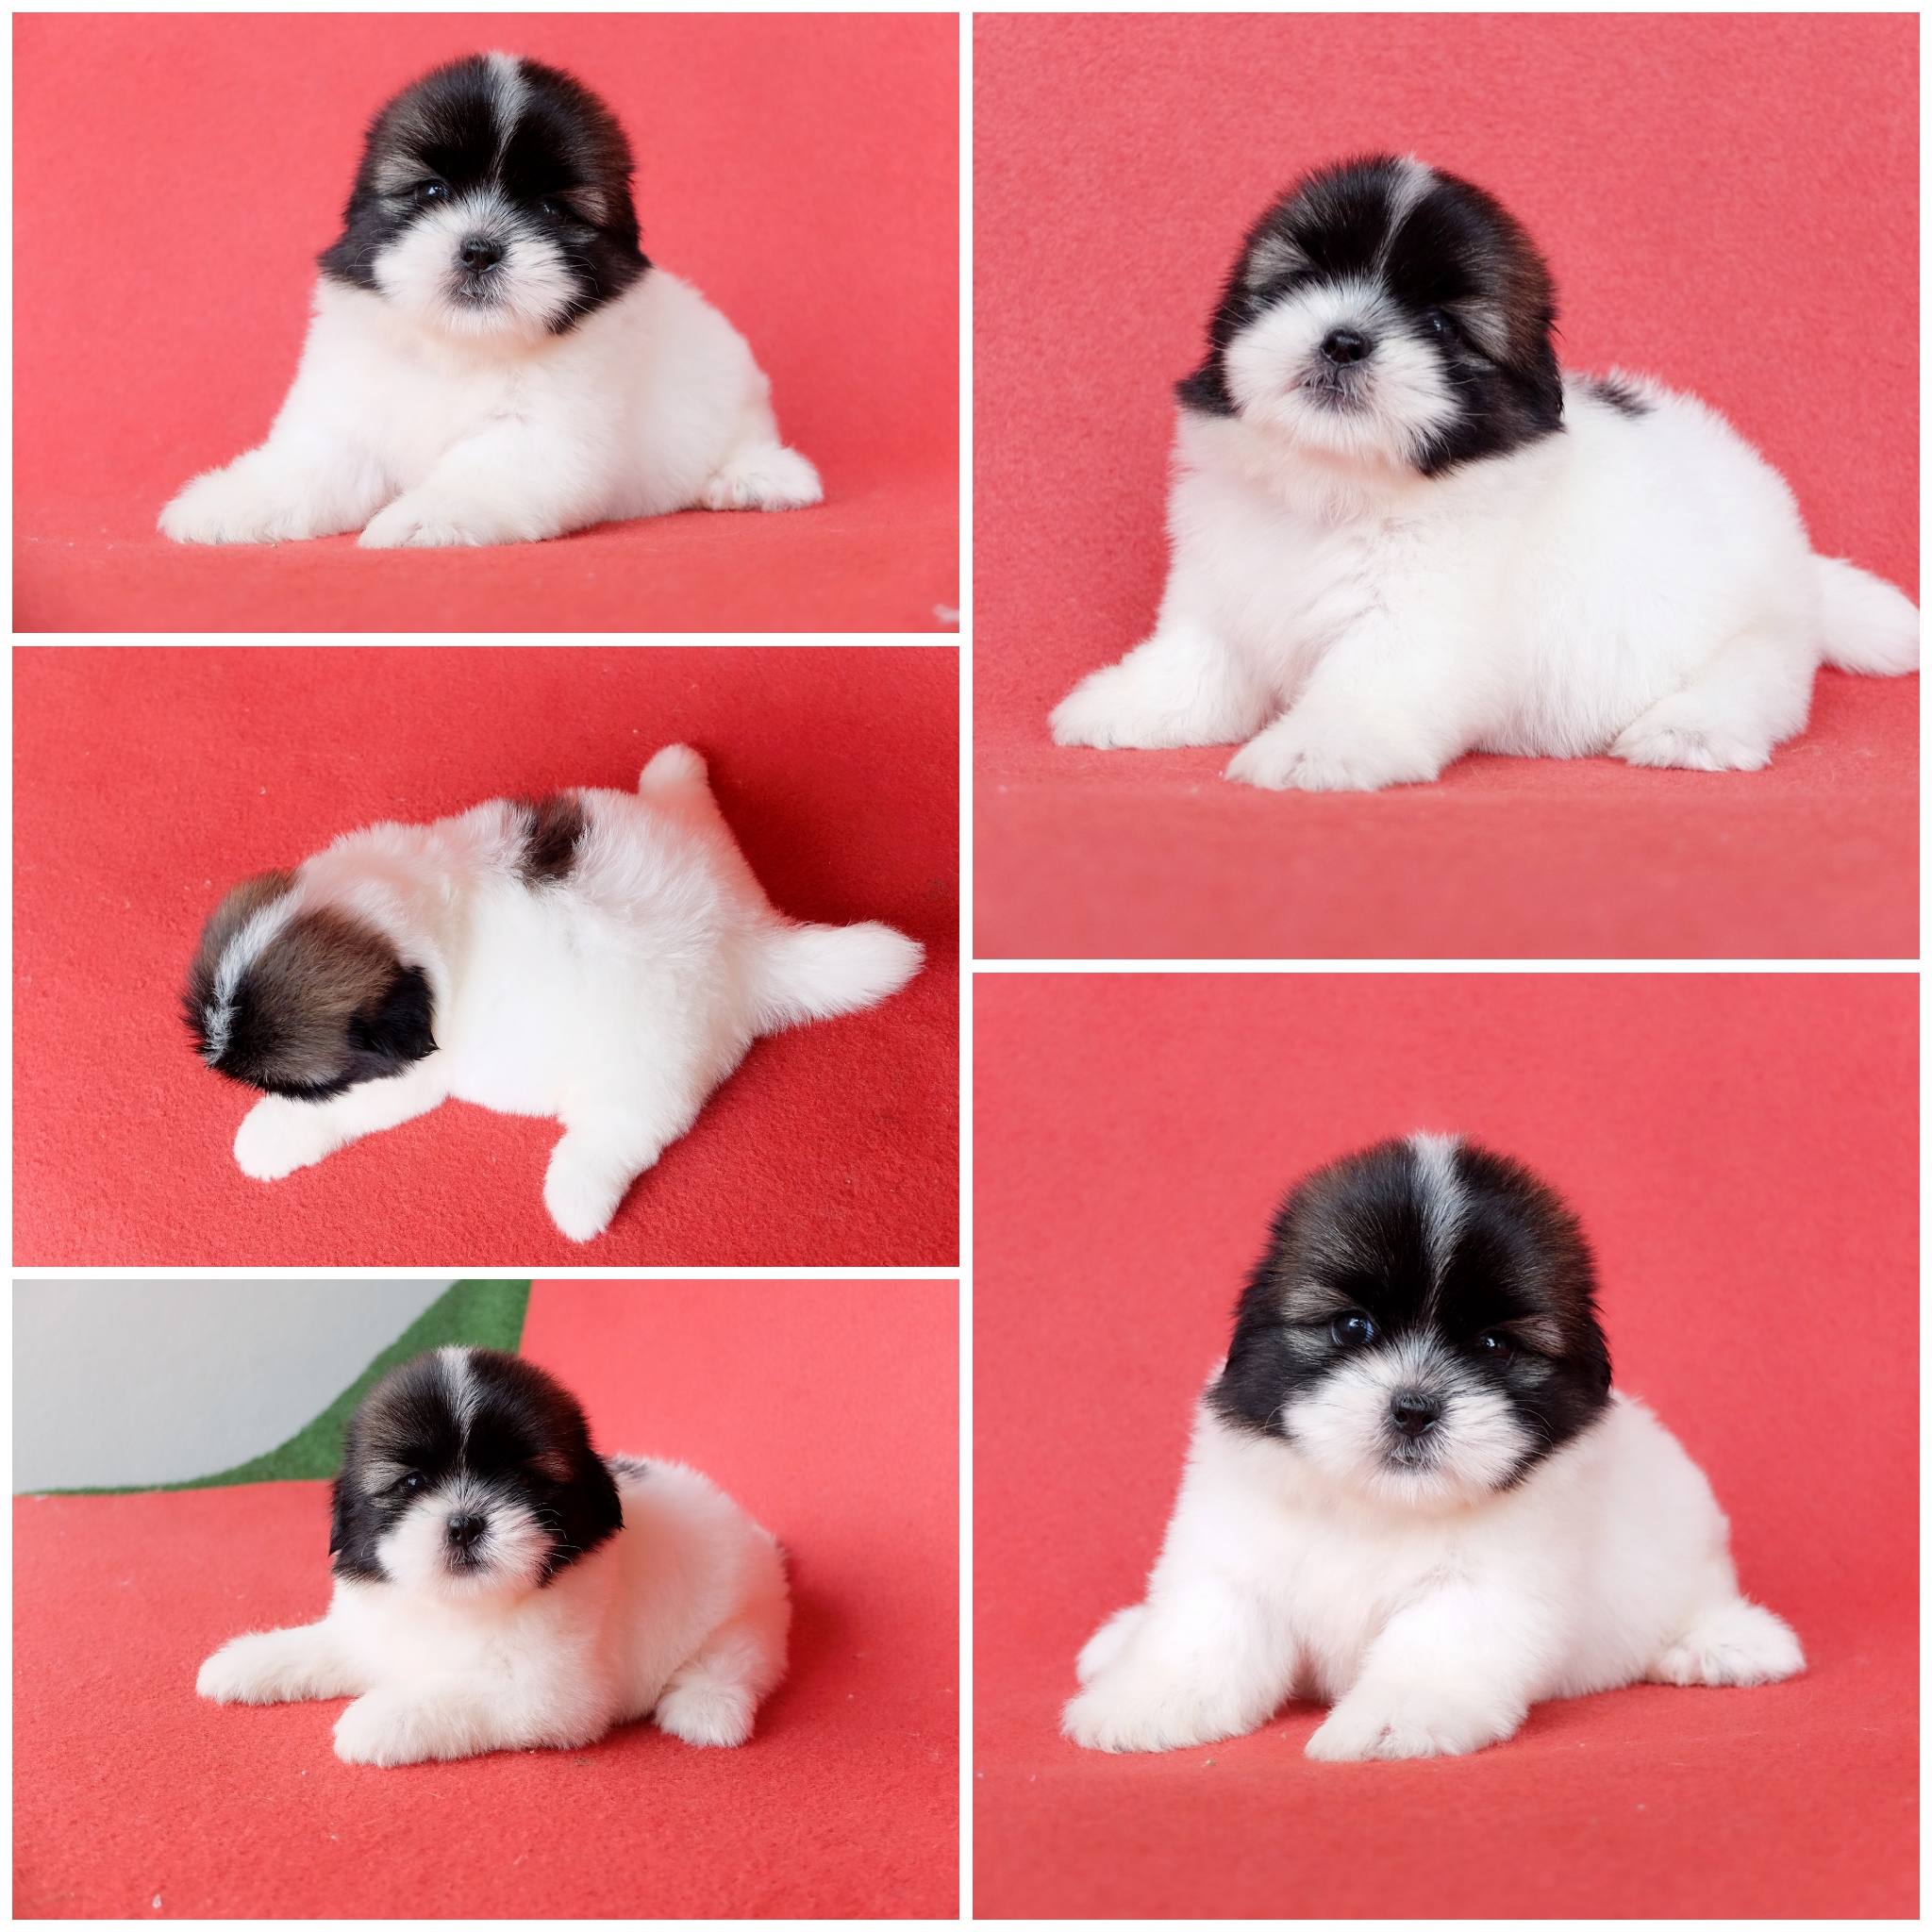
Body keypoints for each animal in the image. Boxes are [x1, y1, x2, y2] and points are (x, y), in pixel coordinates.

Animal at [160, 52, 820, 546]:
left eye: (551, 209)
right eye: (432, 191)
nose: (480, 249)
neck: (457, 349)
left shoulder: (539, 440)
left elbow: (479, 476)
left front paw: (420, 518)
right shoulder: (348, 426)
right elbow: (306, 469)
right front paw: (226, 504)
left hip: (737, 398)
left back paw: (757, 475)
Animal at [183, 744, 922, 1242]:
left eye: (298, 1083)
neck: (409, 912)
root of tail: (749, 943)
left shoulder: (406, 1078)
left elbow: (345, 1109)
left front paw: (269, 1134)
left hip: (643, 1077)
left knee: (619, 1135)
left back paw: (576, 1196)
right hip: (698, 850)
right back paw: (675, 774)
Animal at [197, 1346, 789, 1765]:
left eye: (524, 1479)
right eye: (412, 1482)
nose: (464, 1523)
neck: (454, 1607)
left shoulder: (549, 1694)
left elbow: (453, 1697)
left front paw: (377, 1718)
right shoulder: (372, 1633)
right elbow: (320, 1647)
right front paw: (243, 1663)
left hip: (745, 1621)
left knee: (735, 1661)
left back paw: (705, 1708)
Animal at [1051, 154, 1918, 789]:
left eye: (1440, 325)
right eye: (1302, 280)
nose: (1343, 339)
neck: (1337, 489)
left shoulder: (1418, 629)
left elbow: (1369, 686)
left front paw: (1312, 749)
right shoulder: (1223, 600)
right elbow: (1195, 664)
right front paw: (1124, 705)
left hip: (1756, 633)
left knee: (1756, 682)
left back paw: (1693, 728)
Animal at [1063, 1134, 1804, 1759]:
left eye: (1495, 1345)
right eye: (1352, 1328)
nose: (1414, 1408)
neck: (1379, 1507)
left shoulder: (1486, 1587)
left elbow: (1433, 1650)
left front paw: (1392, 1721)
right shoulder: (1235, 1559)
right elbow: (1205, 1630)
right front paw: (1144, 1703)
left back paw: (1724, 1640)